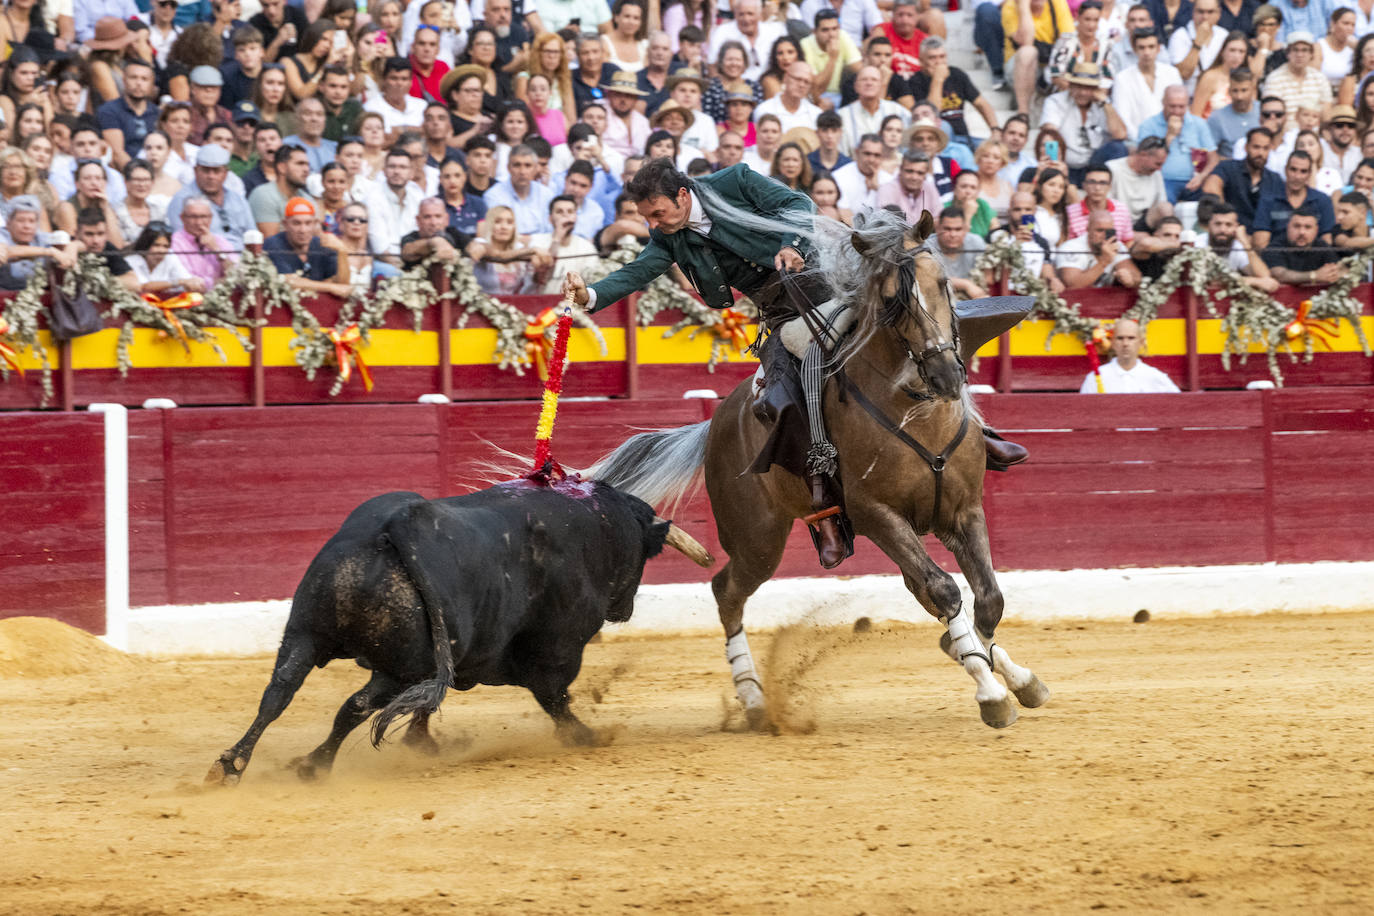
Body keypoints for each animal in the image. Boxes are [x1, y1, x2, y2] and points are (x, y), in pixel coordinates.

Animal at [211, 480, 719, 791]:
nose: (625, 609)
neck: (598, 527)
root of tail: (397, 527)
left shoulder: (453, 655)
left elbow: (430, 701)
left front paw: (422, 744)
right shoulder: (558, 647)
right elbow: (554, 697)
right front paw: (585, 736)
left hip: (305, 632)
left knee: (278, 693)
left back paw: (232, 764)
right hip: (394, 668)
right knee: (355, 706)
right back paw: (312, 765)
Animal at [585, 207, 1044, 730]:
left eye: (943, 283)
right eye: (891, 299)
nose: (947, 375)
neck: (915, 407)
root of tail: (715, 422)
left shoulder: (964, 509)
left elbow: (987, 599)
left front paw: (1008, 674)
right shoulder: (876, 514)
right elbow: (945, 590)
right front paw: (990, 693)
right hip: (758, 539)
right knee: (727, 590)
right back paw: (754, 700)